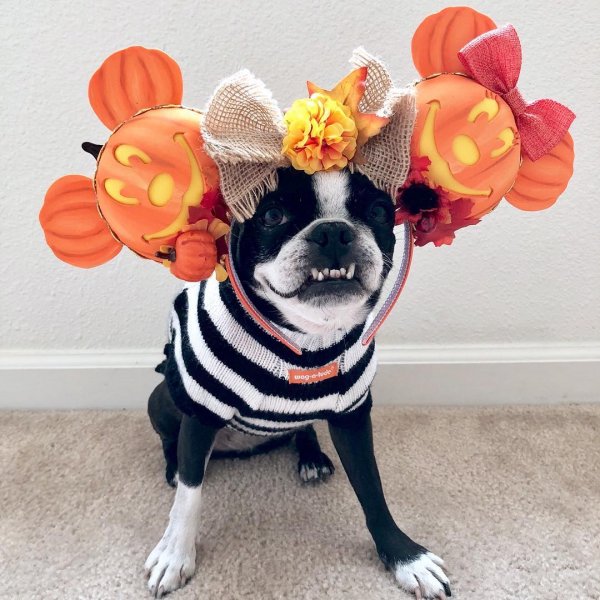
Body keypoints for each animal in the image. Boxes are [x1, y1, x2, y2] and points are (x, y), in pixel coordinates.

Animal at [144, 168, 450, 600]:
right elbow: (189, 496)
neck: (306, 338)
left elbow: (372, 488)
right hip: (163, 399)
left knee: (302, 429)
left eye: (377, 210)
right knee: (172, 442)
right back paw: (172, 465)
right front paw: (174, 555)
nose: (334, 231)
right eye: (273, 215)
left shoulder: (352, 415)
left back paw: (311, 458)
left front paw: (404, 557)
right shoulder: (202, 411)